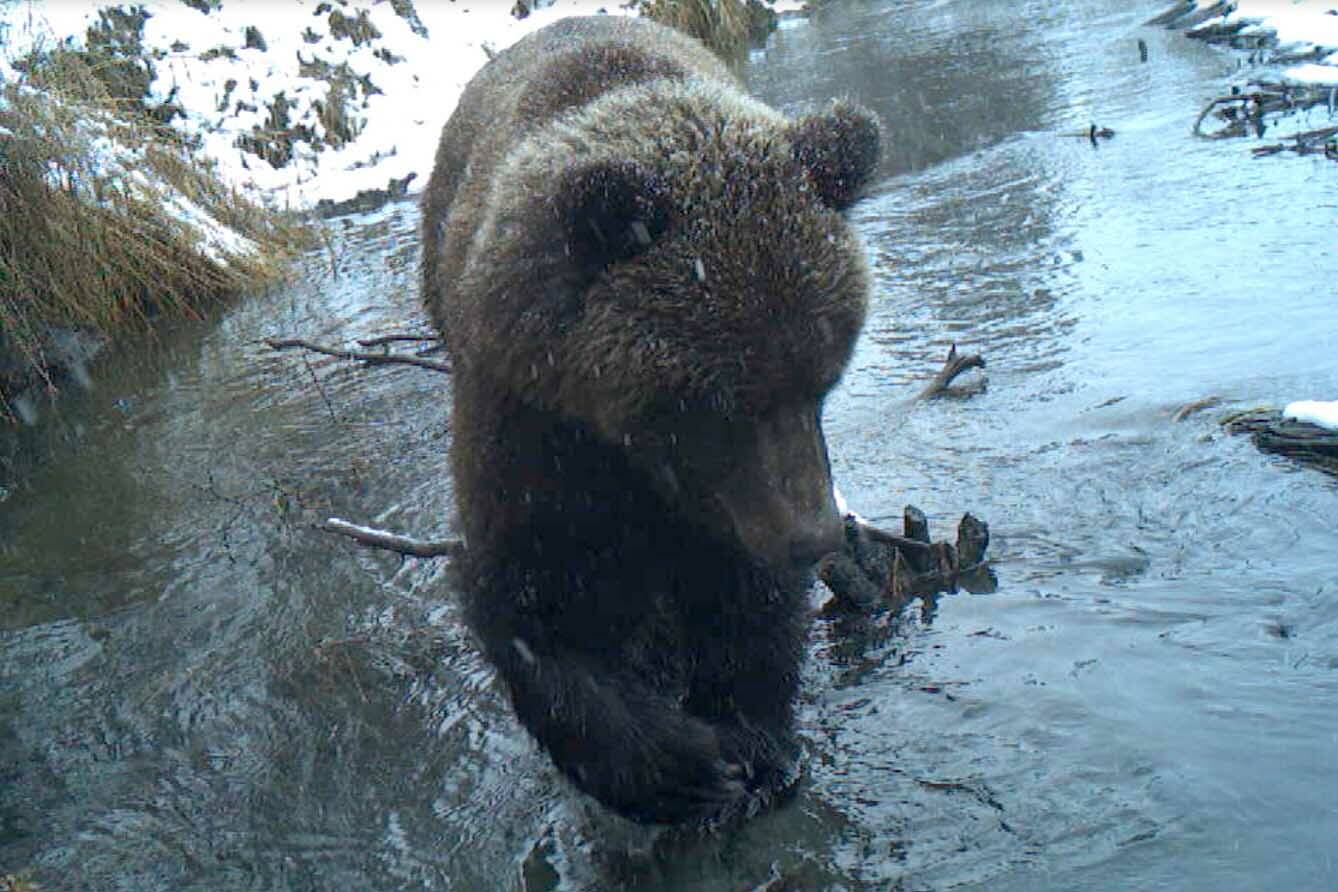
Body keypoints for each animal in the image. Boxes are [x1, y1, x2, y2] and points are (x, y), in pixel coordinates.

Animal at [417, 13, 877, 829]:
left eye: (824, 375)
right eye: (717, 398)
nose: (815, 536)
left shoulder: (732, 497)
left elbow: (743, 594)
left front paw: (752, 742)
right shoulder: (530, 422)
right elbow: (534, 604)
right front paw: (681, 767)